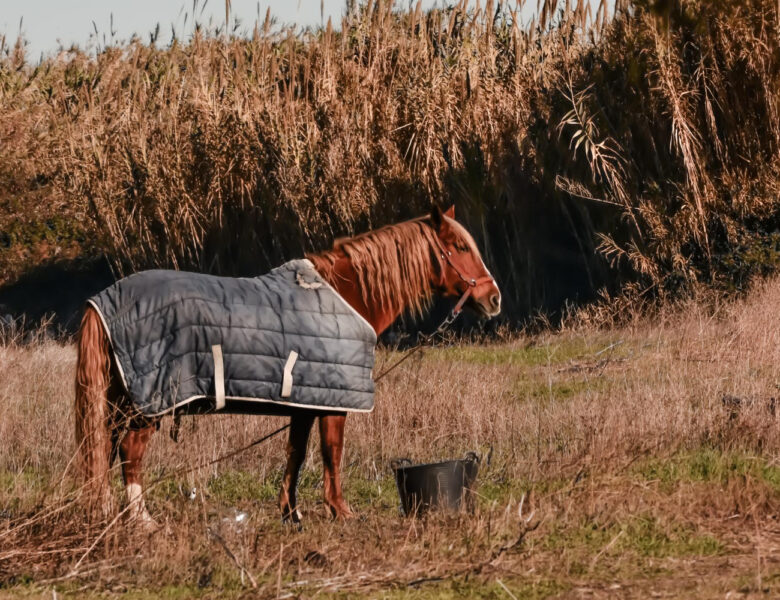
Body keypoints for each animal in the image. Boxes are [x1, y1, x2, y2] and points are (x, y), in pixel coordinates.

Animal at [73, 206, 500, 524]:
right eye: (459, 246)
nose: (493, 298)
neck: (345, 297)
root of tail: (103, 301)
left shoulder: (306, 402)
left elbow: (296, 452)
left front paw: (290, 512)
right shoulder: (333, 403)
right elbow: (331, 452)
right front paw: (340, 511)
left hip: (122, 401)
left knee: (106, 450)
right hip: (149, 403)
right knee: (130, 451)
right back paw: (141, 519)